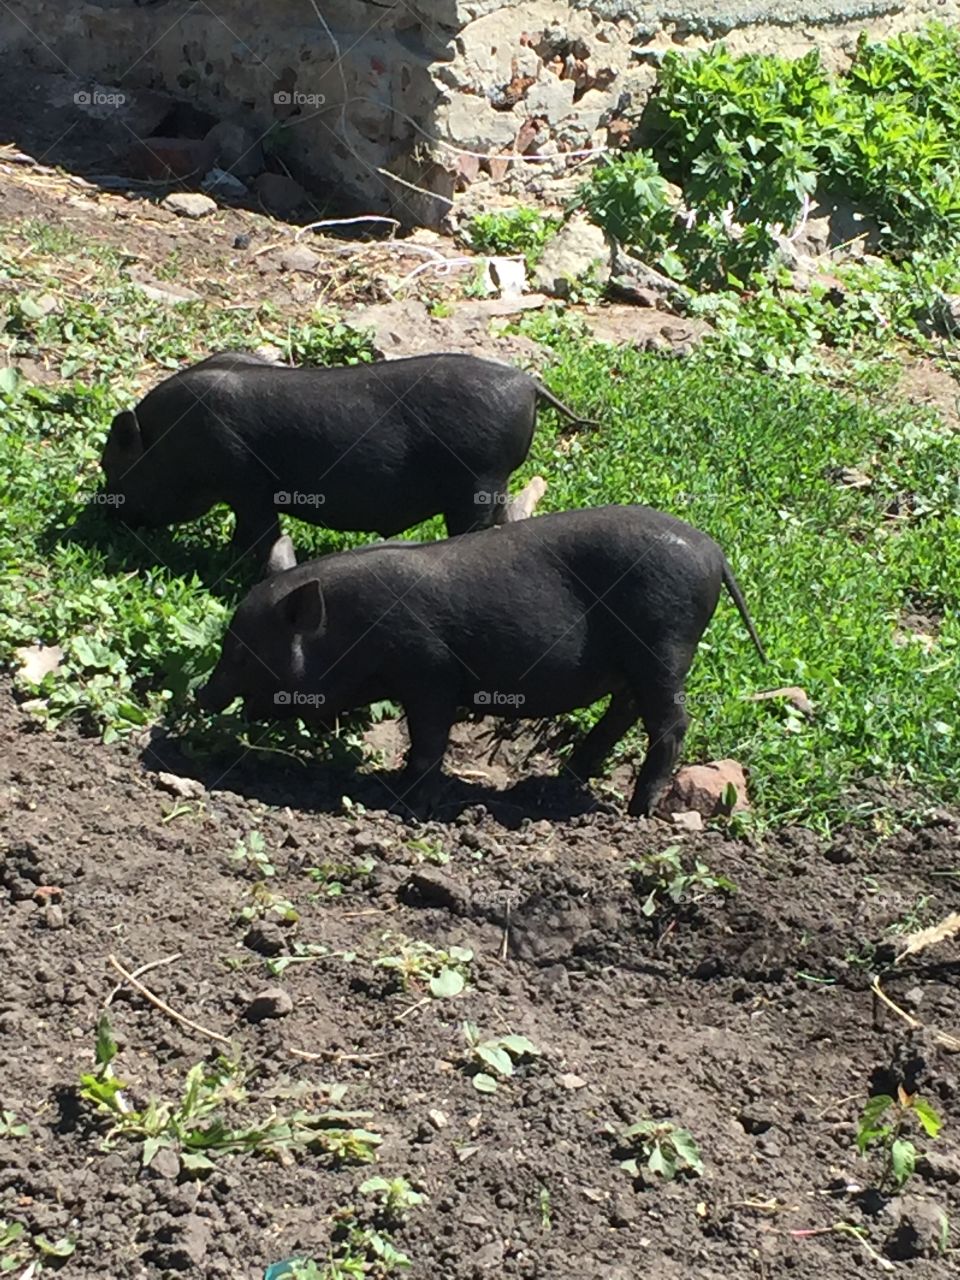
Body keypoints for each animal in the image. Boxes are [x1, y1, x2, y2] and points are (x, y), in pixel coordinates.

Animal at [99, 350, 595, 558]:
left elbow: (259, 533)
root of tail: (528, 384)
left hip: (478, 481)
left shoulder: (247, 484)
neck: (169, 441)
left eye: (113, 466)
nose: (103, 513)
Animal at [197, 504, 766, 817]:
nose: (202, 694)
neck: (350, 629)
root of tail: (713, 552)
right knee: (625, 709)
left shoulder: (431, 674)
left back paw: (637, 810)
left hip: (665, 645)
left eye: (244, 652)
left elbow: (429, 740)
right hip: (640, 659)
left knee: (671, 722)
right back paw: (568, 773)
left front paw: (408, 802)